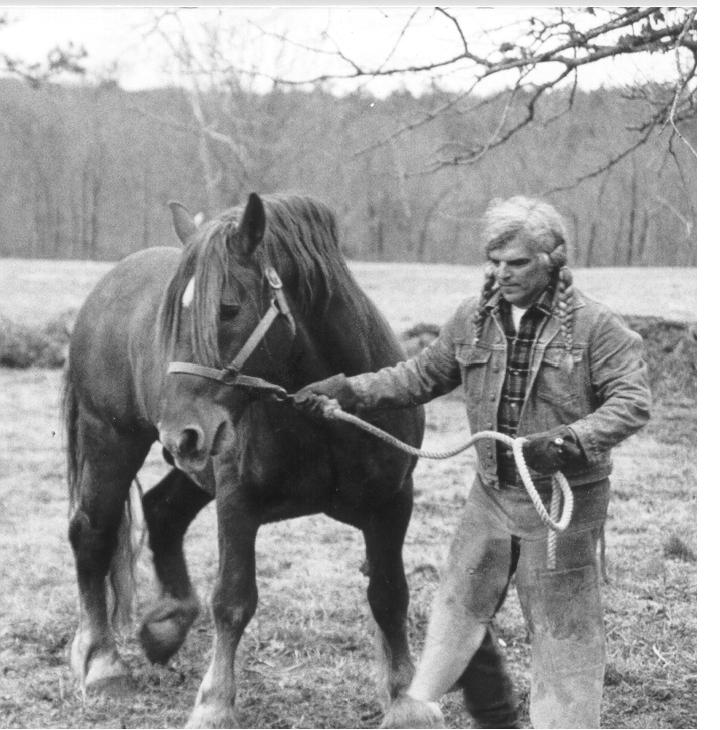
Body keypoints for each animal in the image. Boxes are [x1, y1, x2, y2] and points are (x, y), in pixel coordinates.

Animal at [64, 191, 424, 724]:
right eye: (170, 320)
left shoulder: (392, 504)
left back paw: (167, 624)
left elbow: (389, 595)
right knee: (92, 532)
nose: (179, 430)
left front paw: (405, 701)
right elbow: (233, 601)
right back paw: (102, 664)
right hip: (113, 440)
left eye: (228, 309)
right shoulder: (237, 501)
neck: (325, 415)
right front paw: (214, 704)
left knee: (162, 511)